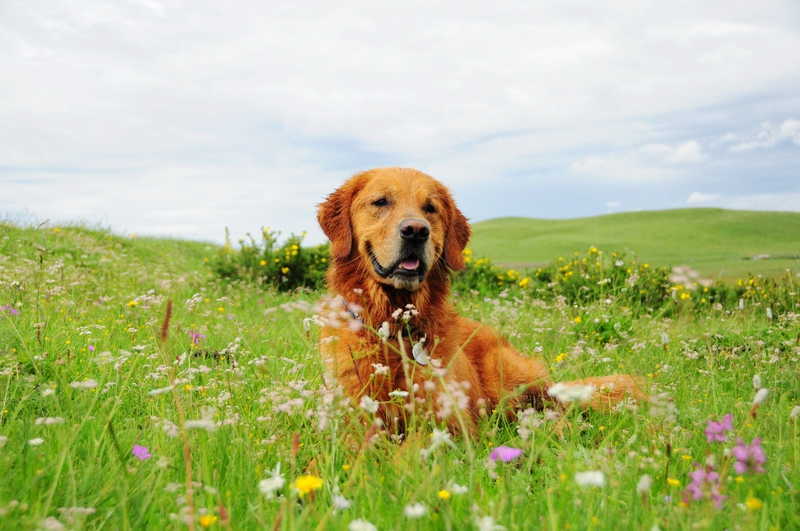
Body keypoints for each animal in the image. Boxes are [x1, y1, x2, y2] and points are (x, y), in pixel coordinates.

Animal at [316, 167, 648, 436]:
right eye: (381, 202)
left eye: (430, 208)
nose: (416, 231)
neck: (393, 326)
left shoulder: (449, 422)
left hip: (508, 378)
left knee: (553, 407)